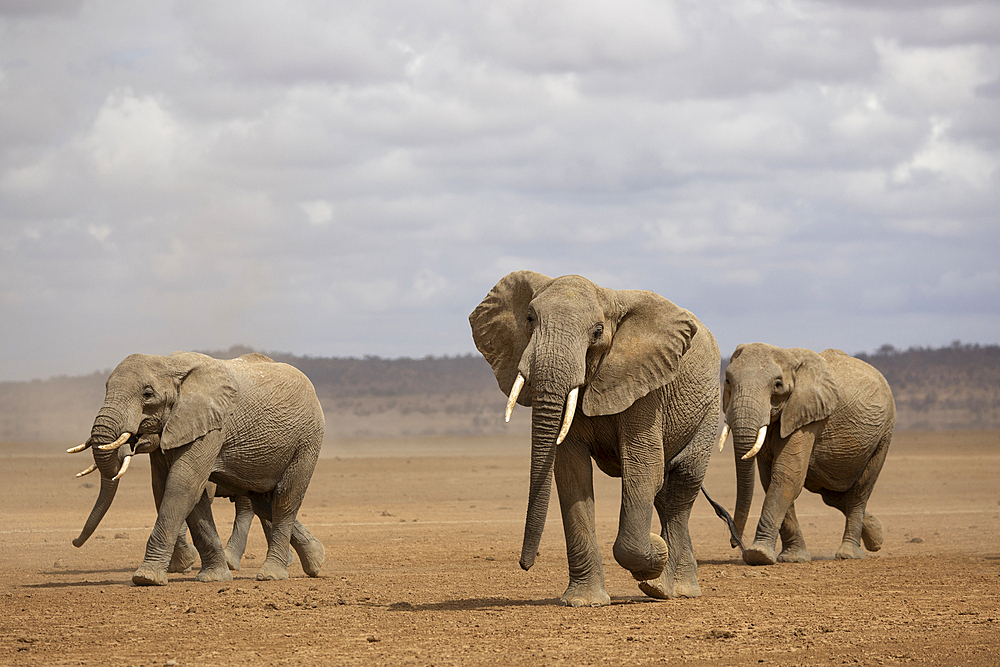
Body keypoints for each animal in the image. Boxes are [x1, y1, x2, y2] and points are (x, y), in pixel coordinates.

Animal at [71, 352, 328, 588]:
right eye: (106, 388)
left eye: (148, 394)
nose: (74, 541)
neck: (169, 363)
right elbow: (173, 490)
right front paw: (213, 577)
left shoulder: (212, 426)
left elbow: (183, 486)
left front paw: (146, 578)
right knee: (262, 502)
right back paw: (316, 560)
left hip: (307, 440)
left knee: (284, 500)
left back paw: (271, 574)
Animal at [468, 270, 720, 604]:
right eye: (530, 319)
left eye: (598, 332)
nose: (525, 564)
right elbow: (571, 472)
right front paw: (582, 601)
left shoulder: (646, 385)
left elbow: (642, 467)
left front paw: (655, 550)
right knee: (665, 494)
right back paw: (677, 586)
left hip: (710, 409)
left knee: (683, 482)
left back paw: (661, 587)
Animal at [720, 342, 900, 568]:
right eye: (728, 380)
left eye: (777, 385)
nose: (734, 542)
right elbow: (771, 479)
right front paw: (793, 558)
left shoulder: (806, 415)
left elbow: (787, 475)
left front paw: (758, 555)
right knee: (832, 494)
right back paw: (876, 535)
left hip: (884, 434)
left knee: (860, 490)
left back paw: (849, 553)